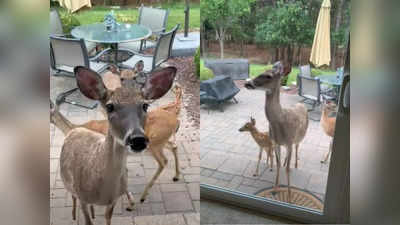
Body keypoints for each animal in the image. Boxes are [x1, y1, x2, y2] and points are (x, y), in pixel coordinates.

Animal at [59, 65, 177, 225]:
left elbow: (108, 218)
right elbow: (88, 220)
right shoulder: (83, 197)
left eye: (145, 105)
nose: (138, 139)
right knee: (72, 195)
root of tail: (75, 129)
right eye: (109, 106)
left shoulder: (113, 200)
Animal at [244, 61, 310, 202]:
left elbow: (287, 169)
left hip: (299, 137)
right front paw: (275, 189)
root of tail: (301, 105)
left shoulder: (289, 141)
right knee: (287, 156)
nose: (248, 83)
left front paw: (289, 196)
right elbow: (278, 164)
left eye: (268, 76)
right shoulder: (275, 143)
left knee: (297, 147)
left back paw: (296, 164)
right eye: (262, 71)